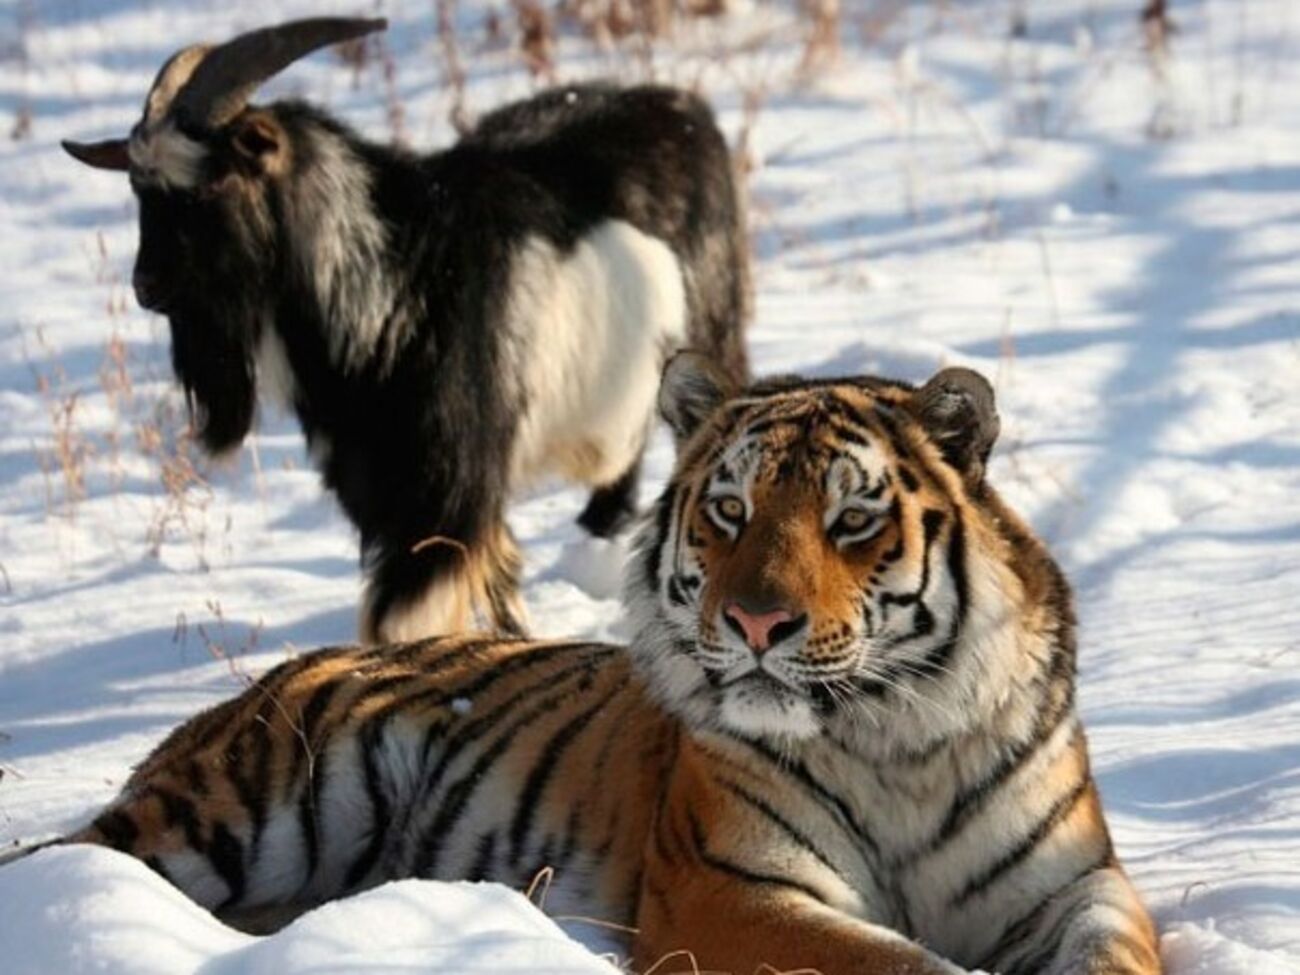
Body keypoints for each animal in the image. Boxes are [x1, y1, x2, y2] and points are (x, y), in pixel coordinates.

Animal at [23, 353, 1161, 974]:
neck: (896, 737)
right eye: (730, 511)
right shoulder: (730, 890)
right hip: (237, 807)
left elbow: (1114, 949)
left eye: (850, 520)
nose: (756, 623)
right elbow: (893, 962)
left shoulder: (1074, 884)